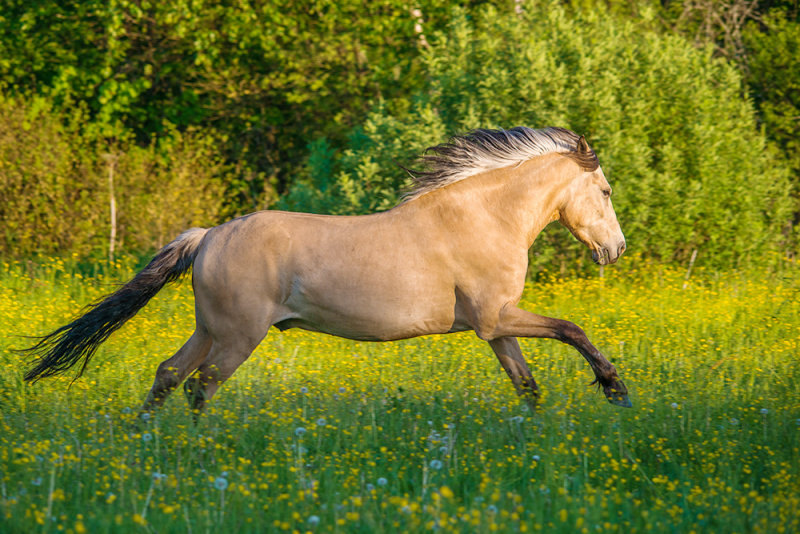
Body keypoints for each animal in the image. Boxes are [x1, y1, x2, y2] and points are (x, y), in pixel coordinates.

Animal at [23, 127, 632, 416]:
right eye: (604, 191)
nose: (616, 249)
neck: (484, 217)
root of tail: (208, 236)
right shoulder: (496, 317)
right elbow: (573, 329)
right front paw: (615, 389)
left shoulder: (494, 325)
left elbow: (527, 385)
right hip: (238, 335)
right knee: (201, 386)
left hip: (210, 329)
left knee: (169, 374)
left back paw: (141, 439)